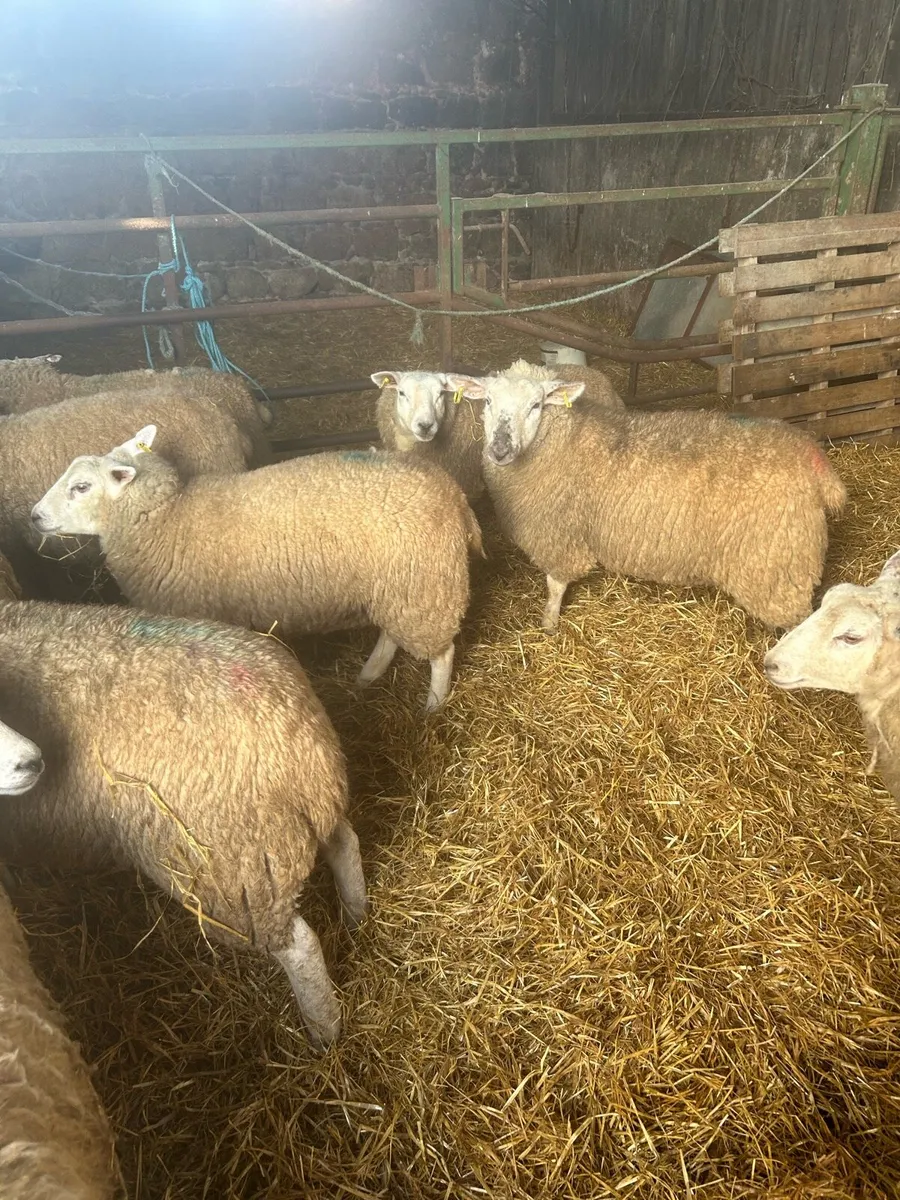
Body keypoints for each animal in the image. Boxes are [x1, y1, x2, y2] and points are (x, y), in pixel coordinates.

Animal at [0, 590, 368, 1047]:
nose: (32, 763)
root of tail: (296, 735)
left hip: (229, 868)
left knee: (299, 947)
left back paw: (324, 1031)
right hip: (302, 820)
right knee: (345, 845)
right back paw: (357, 919)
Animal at [33, 429, 484, 712]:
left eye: (81, 487)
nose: (35, 516)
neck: (169, 519)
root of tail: (453, 493)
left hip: (425, 583)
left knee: (441, 652)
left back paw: (433, 706)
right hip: (396, 584)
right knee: (391, 632)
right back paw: (367, 676)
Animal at [447, 369, 846, 632]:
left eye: (535, 405)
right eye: (488, 401)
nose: (500, 448)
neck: (562, 442)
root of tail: (815, 463)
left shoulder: (559, 538)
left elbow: (555, 585)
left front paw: (548, 623)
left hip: (778, 564)